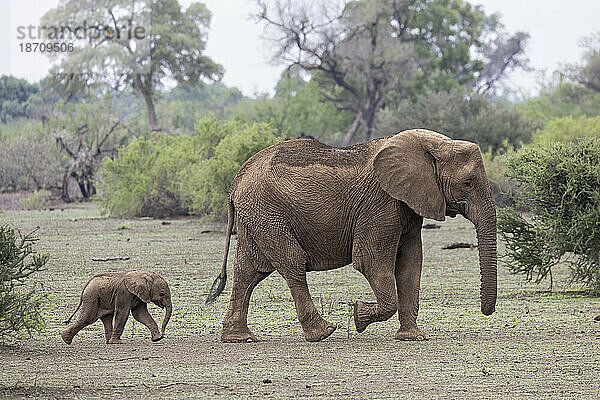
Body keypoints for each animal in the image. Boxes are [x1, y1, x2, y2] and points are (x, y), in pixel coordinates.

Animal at [206, 130, 496, 342]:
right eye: (468, 183)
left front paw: (413, 337)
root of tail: (235, 181)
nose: (486, 312)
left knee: (249, 270)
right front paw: (358, 315)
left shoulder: (409, 204)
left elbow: (411, 264)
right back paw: (323, 332)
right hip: (267, 212)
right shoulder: (381, 203)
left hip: (255, 216)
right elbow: (370, 261)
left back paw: (239, 338)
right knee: (292, 262)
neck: (430, 145)